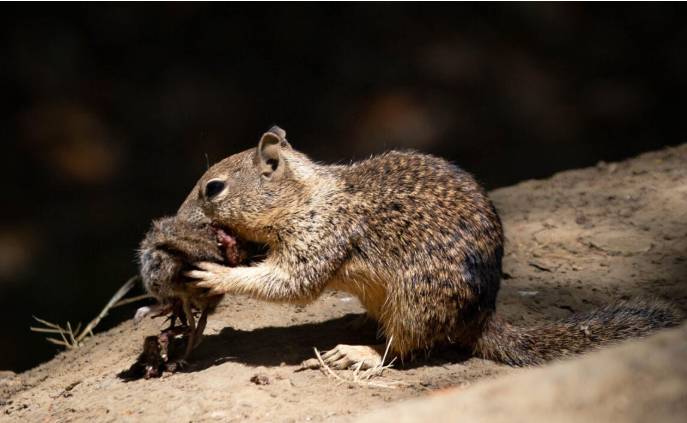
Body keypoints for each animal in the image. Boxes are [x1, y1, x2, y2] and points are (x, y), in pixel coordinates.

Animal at [173, 124, 684, 370]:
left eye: (213, 189)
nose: (176, 219)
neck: (308, 196)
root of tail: (479, 318)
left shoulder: (322, 235)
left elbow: (290, 282)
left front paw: (216, 274)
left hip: (415, 302)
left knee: (403, 349)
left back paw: (359, 353)